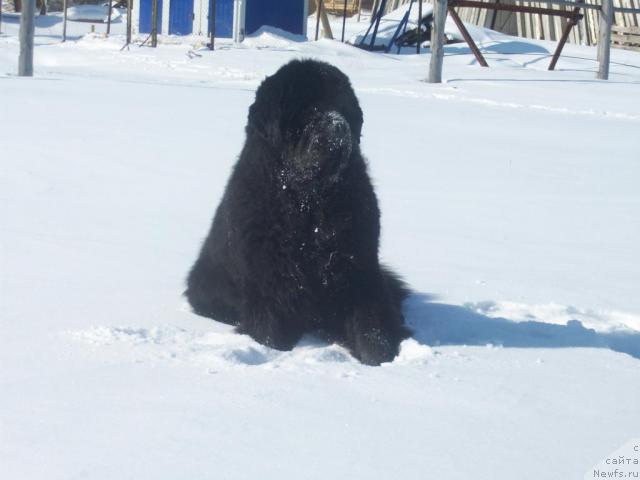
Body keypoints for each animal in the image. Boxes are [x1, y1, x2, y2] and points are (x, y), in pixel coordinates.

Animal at [185, 59, 410, 364]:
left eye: (342, 106)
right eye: (307, 108)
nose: (338, 125)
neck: (310, 205)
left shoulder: (359, 267)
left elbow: (371, 324)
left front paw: (381, 358)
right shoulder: (269, 280)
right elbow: (271, 332)